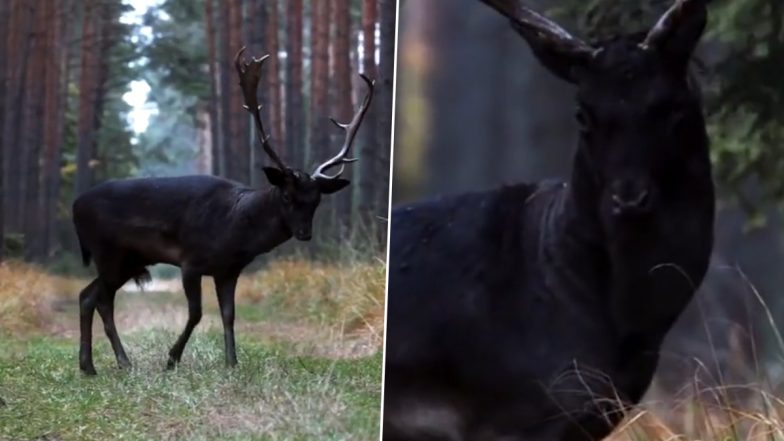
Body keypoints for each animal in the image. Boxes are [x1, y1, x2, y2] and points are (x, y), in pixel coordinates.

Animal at [72, 45, 374, 374]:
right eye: (286, 195)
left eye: (316, 199)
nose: (305, 233)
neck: (235, 231)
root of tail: (76, 206)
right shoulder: (190, 261)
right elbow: (196, 313)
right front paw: (172, 358)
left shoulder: (229, 270)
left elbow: (229, 314)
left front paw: (232, 362)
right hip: (108, 254)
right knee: (100, 300)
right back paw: (110, 363)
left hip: (128, 260)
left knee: (88, 295)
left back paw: (95, 365)